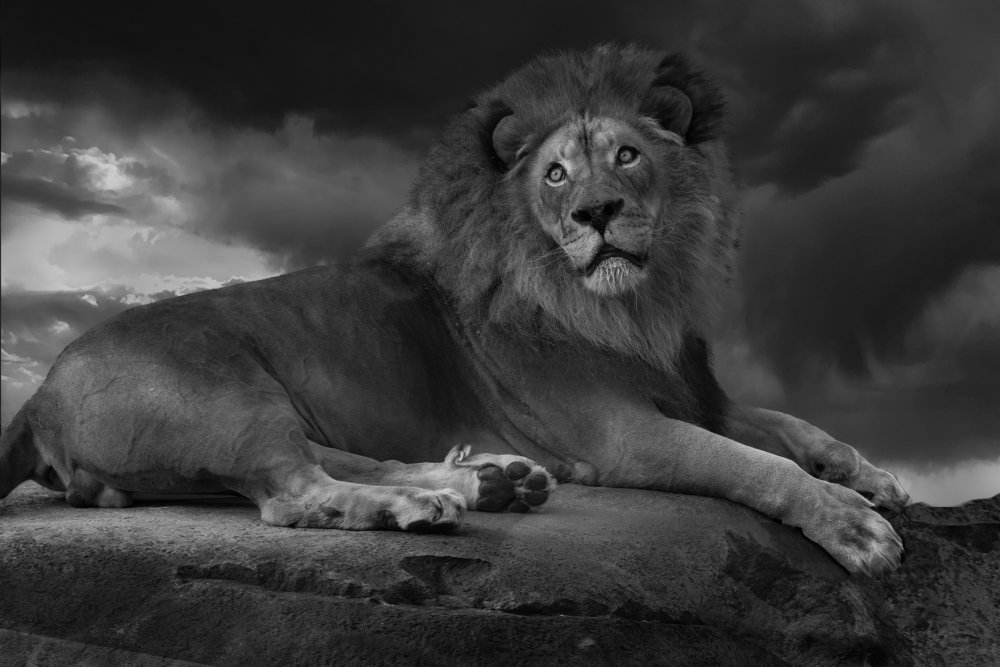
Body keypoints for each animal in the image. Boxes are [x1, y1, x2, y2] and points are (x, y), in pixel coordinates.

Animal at [0, 44, 908, 574]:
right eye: (555, 174)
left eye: (626, 156)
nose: (597, 213)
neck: (639, 304)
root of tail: (39, 391)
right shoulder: (627, 433)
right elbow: (751, 462)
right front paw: (853, 526)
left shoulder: (697, 392)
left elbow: (798, 427)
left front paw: (877, 476)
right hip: (228, 396)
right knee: (297, 492)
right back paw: (428, 503)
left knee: (337, 458)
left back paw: (493, 480)